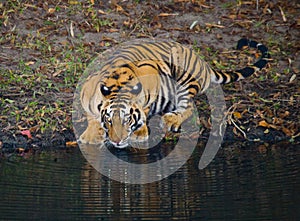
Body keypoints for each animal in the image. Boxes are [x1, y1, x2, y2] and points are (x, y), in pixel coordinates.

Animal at [79, 38, 270, 148]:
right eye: (110, 120)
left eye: (127, 119)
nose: (117, 141)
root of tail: (202, 61)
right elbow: (92, 117)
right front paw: (90, 136)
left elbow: (143, 113)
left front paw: (140, 134)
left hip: (184, 79)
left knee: (189, 107)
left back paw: (170, 120)